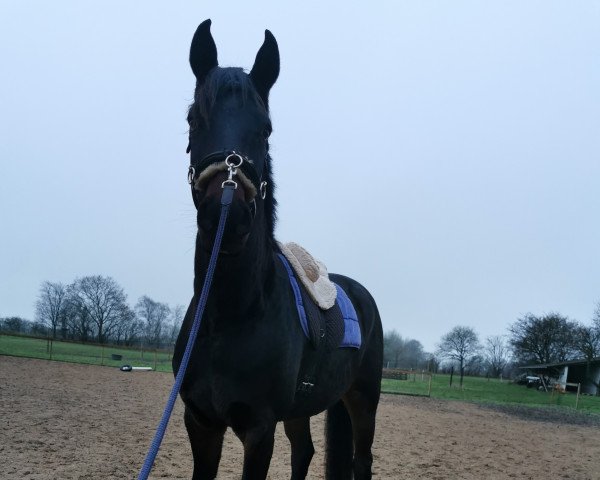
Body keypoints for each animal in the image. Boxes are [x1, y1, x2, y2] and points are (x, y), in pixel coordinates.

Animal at [171, 19, 382, 480]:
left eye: (266, 128)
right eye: (193, 118)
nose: (227, 214)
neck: (230, 314)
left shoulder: (259, 429)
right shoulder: (200, 423)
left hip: (363, 400)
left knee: (361, 460)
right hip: (301, 410)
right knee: (304, 450)